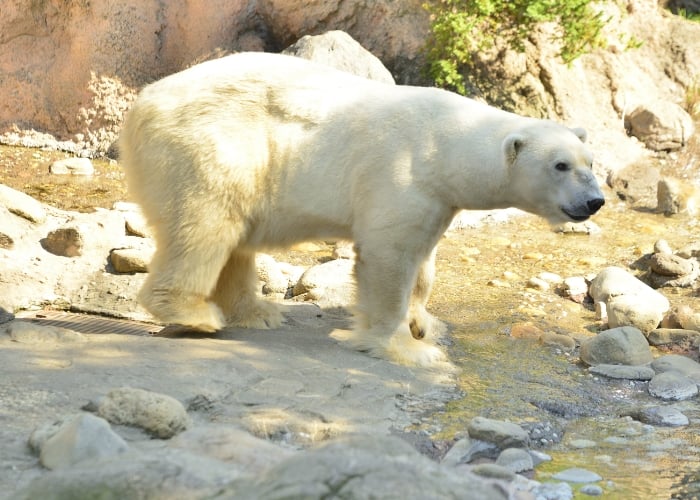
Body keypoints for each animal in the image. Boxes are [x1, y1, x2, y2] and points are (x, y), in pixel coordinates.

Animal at [119, 51, 600, 368]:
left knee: (234, 235)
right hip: (215, 144)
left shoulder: (436, 197)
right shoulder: (400, 174)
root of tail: (142, 102)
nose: (594, 201)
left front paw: (426, 324)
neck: (444, 143)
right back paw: (195, 314)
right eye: (560, 165)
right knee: (207, 224)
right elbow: (388, 258)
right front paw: (408, 349)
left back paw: (259, 313)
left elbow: (422, 261)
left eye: (590, 163)